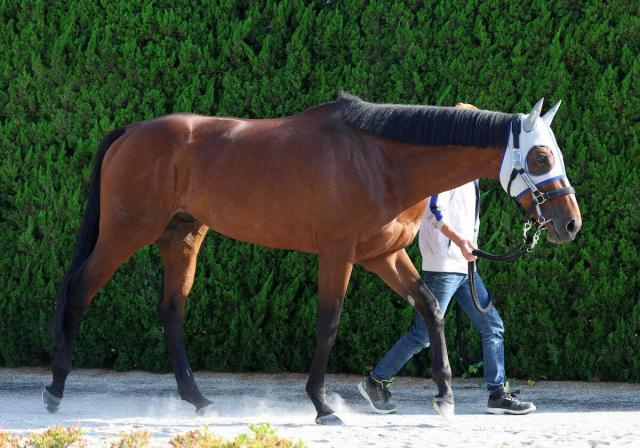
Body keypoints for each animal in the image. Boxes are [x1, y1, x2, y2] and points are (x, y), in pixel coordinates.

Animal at [43, 93, 581, 425]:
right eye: (539, 158)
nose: (570, 223)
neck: (381, 160)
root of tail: (132, 130)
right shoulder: (338, 253)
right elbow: (329, 322)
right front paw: (323, 405)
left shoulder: (383, 255)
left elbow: (430, 308)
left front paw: (444, 398)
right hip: (125, 233)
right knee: (78, 290)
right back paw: (54, 391)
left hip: (182, 237)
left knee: (171, 311)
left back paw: (197, 399)